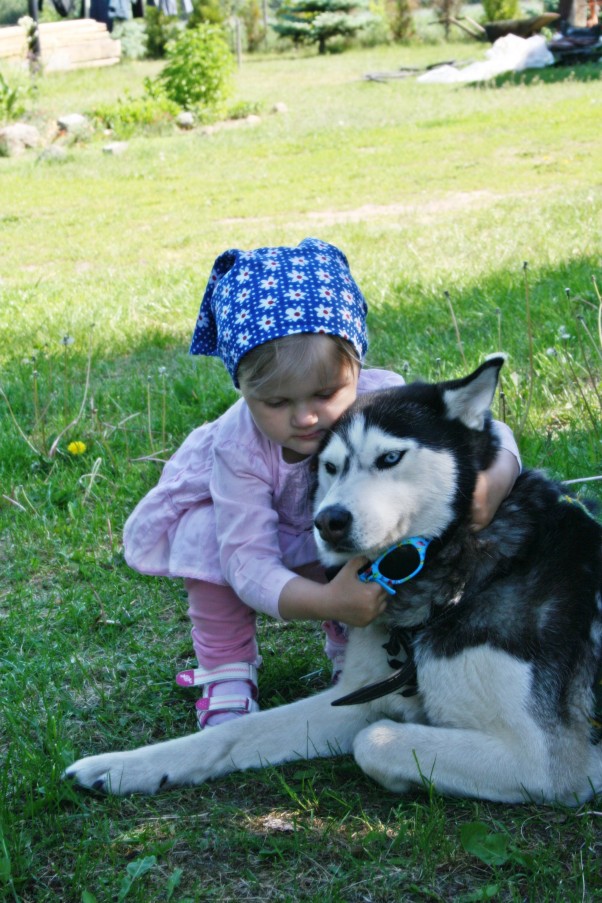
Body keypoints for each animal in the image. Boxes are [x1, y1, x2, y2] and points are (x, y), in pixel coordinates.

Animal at [64, 356, 600, 800]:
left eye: (390, 458)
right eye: (330, 466)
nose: (328, 521)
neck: (453, 573)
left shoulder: (543, 762)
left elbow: (373, 739)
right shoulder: (360, 694)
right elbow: (232, 733)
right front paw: (122, 767)